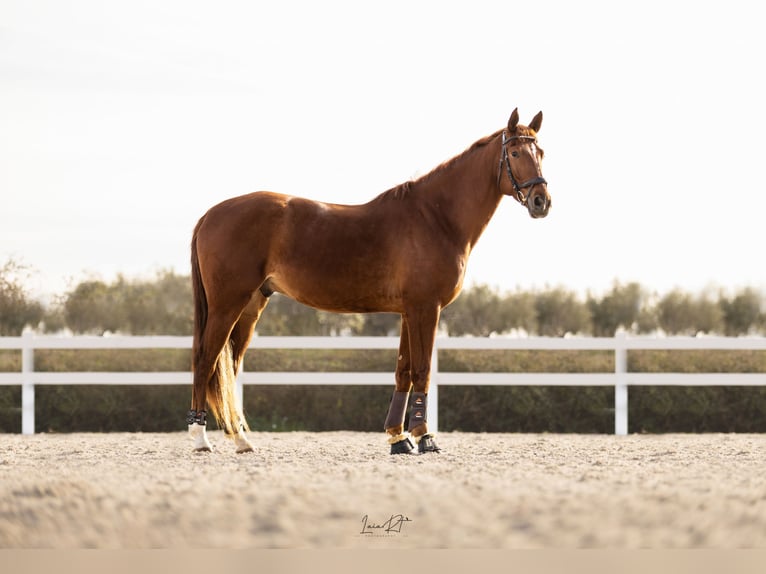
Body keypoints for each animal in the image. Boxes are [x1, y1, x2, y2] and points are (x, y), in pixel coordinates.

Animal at [190, 110, 552, 456]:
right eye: (515, 152)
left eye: (541, 152)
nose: (541, 201)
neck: (436, 218)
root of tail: (209, 215)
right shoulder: (426, 308)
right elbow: (422, 370)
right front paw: (424, 437)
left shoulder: (408, 312)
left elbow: (403, 371)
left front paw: (398, 438)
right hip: (227, 304)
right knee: (206, 360)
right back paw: (200, 438)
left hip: (252, 305)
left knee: (230, 366)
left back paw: (241, 440)